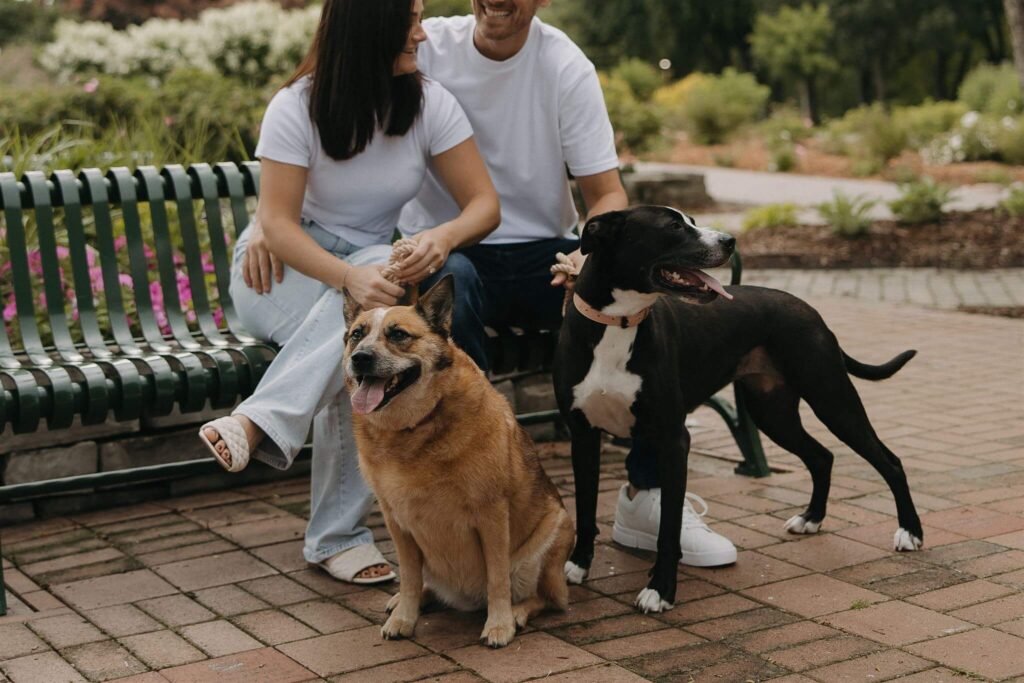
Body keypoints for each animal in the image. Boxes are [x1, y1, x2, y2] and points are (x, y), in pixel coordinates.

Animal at [339, 274, 573, 651]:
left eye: (398, 334)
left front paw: (499, 624)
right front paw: (403, 618)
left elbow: (497, 578)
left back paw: (518, 613)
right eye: (357, 334)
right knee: (425, 583)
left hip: (553, 533)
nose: (360, 358)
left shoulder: (492, 515)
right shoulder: (396, 520)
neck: (414, 428)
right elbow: (408, 577)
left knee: (547, 598)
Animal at [557, 204, 925, 614]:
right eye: (673, 226)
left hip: (832, 399)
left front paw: (660, 590)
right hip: (773, 413)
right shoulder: (583, 437)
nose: (730, 241)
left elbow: (669, 527)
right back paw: (811, 519)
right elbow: (585, 509)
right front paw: (577, 566)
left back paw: (910, 531)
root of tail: (808, 309)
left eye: (692, 222)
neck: (617, 326)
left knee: (889, 461)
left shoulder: (672, 440)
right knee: (822, 456)